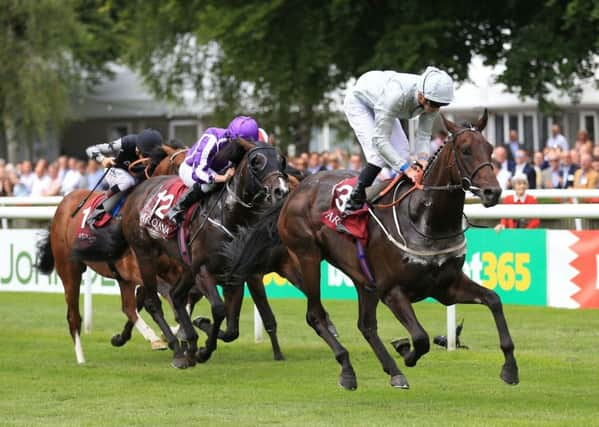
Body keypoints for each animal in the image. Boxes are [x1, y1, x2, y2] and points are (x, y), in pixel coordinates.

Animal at [120, 139, 290, 370]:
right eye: (256, 162)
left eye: (282, 160)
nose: (281, 190)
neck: (230, 216)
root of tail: (138, 190)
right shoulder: (203, 270)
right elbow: (218, 310)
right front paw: (204, 348)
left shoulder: (234, 275)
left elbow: (232, 330)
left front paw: (201, 339)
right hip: (145, 255)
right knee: (154, 302)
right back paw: (177, 348)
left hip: (185, 267)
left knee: (176, 295)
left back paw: (188, 343)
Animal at [225, 110, 520, 392]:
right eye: (466, 150)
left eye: (490, 148)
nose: (492, 191)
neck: (425, 220)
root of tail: (295, 190)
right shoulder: (393, 291)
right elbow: (421, 338)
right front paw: (406, 351)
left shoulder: (446, 287)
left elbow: (494, 300)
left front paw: (510, 368)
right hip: (307, 257)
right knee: (316, 315)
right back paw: (348, 370)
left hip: (362, 277)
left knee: (365, 325)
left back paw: (393, 372)